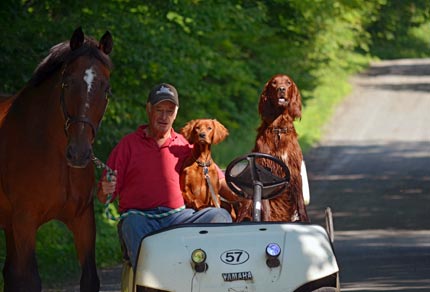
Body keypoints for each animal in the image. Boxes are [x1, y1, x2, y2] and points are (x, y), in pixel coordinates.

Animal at [0, 27, 113, 292]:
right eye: (67, 83)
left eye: (105, 89)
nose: (79, 153)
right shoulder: (25, 221)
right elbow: (29, 280)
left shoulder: (83, 219)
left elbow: (90, 278)